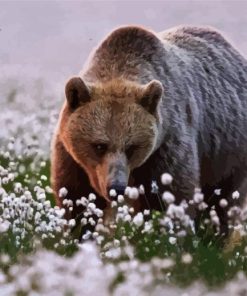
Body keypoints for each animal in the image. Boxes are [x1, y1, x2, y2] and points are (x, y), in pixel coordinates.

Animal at [50, 24, 247, 234]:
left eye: (131, 147)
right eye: (99, 145)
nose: (116, 188)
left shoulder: (166, 145)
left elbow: (169, 196)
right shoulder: (71, 157)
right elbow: (75, 197)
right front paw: (79, 231)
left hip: (228, 152)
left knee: (223, 200)